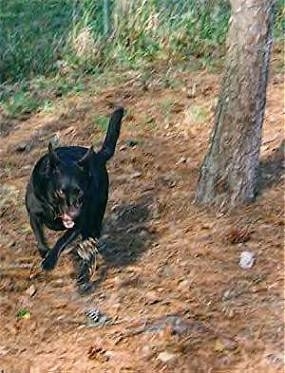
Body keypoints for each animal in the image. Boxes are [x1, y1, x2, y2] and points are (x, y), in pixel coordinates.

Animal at [26, 107, 123, 290]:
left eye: (81, 192)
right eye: (61, 191)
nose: (74, 213)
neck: (54, 208)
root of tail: (97, 158)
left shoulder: (79, 223)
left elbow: (61, 240)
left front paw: (50, 261)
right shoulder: (33, 213)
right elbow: (39, 237)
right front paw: (44, 252)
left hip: (94, 218)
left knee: (90, 244)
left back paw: (84, 272)